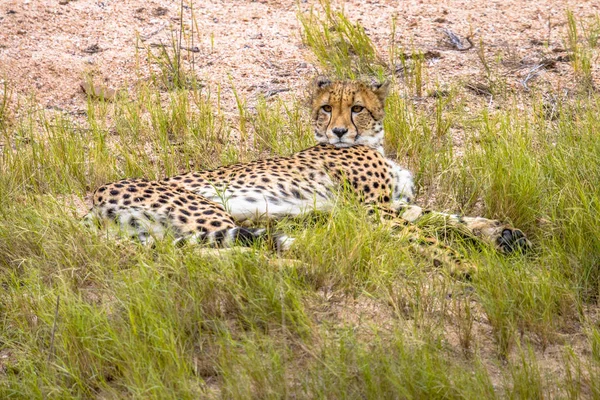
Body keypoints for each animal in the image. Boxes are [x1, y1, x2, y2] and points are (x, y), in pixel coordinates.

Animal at [85, 77, 528, 255]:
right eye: (327, 108)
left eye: (357, 108)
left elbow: (449, 217)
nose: (338, 132)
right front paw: (461, 265)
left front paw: (501, 234)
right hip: (207, 210)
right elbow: (431, 238)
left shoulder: (396, 205)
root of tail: (92, 197)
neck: (373, 143)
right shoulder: (374, 210)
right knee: (243, 256)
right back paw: (312, 253)